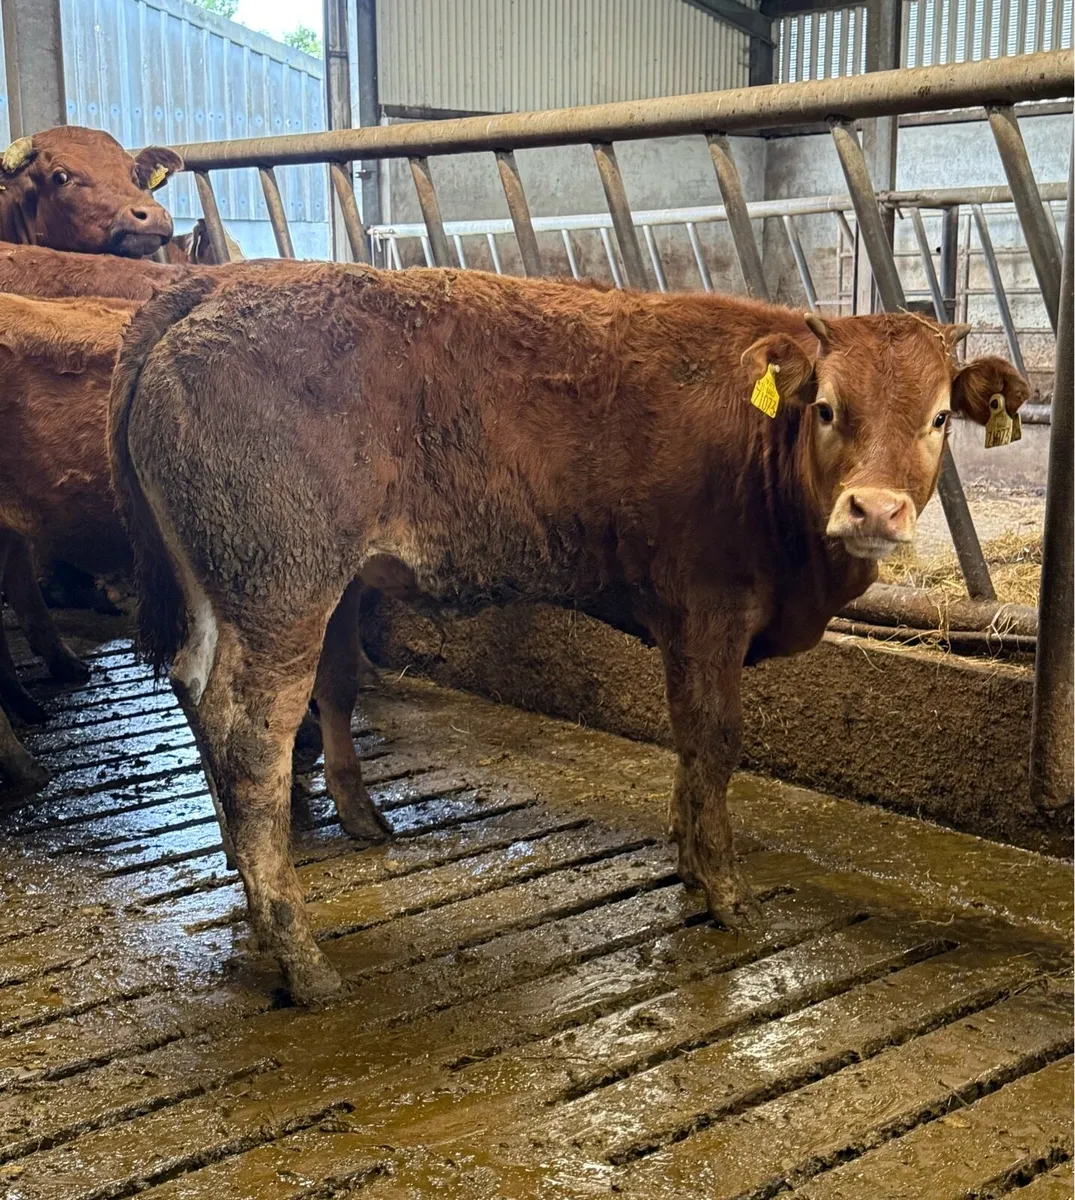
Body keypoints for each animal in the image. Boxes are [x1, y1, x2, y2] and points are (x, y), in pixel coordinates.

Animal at [107, 263, 1028, 1002]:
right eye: (829, 409)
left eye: (938, 419)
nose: (874, 510)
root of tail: (215, 287)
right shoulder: (707, 608)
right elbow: (714, 740)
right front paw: (723, 891)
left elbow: (688, 748)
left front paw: (687, 855)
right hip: (281, 590)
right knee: (253, 741)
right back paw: (302, 959)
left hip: (231, 592)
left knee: (200, 692)